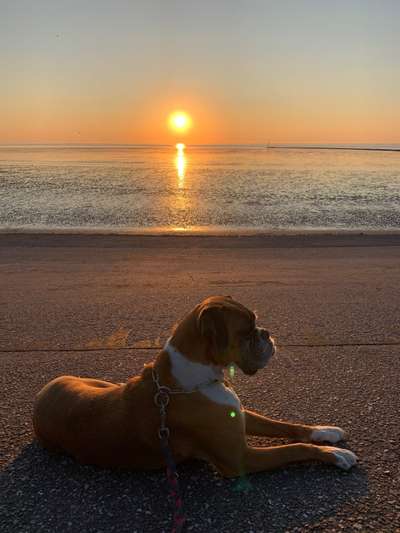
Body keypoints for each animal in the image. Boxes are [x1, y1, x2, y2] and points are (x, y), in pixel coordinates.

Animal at [33, 296, 356, 474]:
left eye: (257, 325)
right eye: (247, 331)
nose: (266, 333)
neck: (194, 380)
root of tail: (41, 395)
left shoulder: (238, 414)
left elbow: (284, 425)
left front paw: (324, 432)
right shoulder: (241, 459)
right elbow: (294, 449)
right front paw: (334, 455)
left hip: (98, 383)